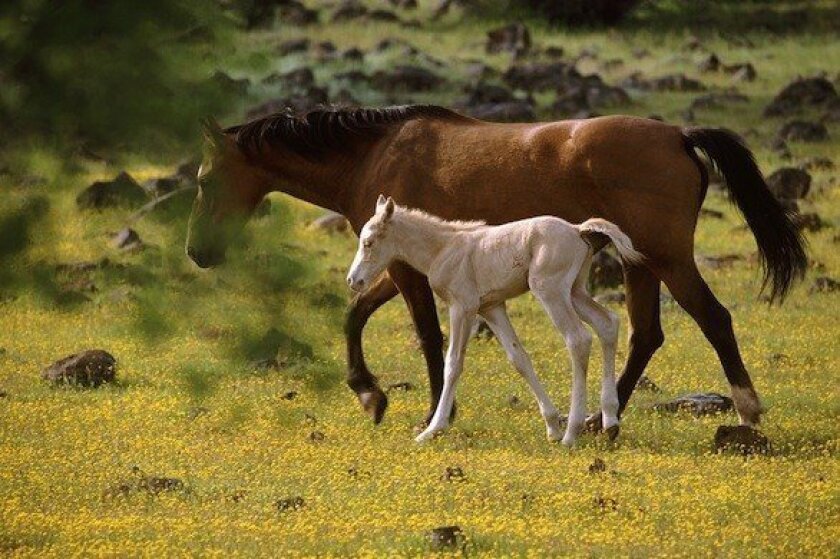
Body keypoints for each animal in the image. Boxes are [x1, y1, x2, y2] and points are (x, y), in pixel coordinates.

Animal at [346, 197, 644, 446]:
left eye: (369, 242)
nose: (354, 280)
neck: (444, 249)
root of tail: (577, 229)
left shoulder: (462, 307)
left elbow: (453, 364)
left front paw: (433, 429)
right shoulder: (492, 308)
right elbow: (519, 358)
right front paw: (551, 426)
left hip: (551, 290)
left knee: (578, 338)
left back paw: (572, 433)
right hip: (575, 291)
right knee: (607, 323)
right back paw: (609, 421)